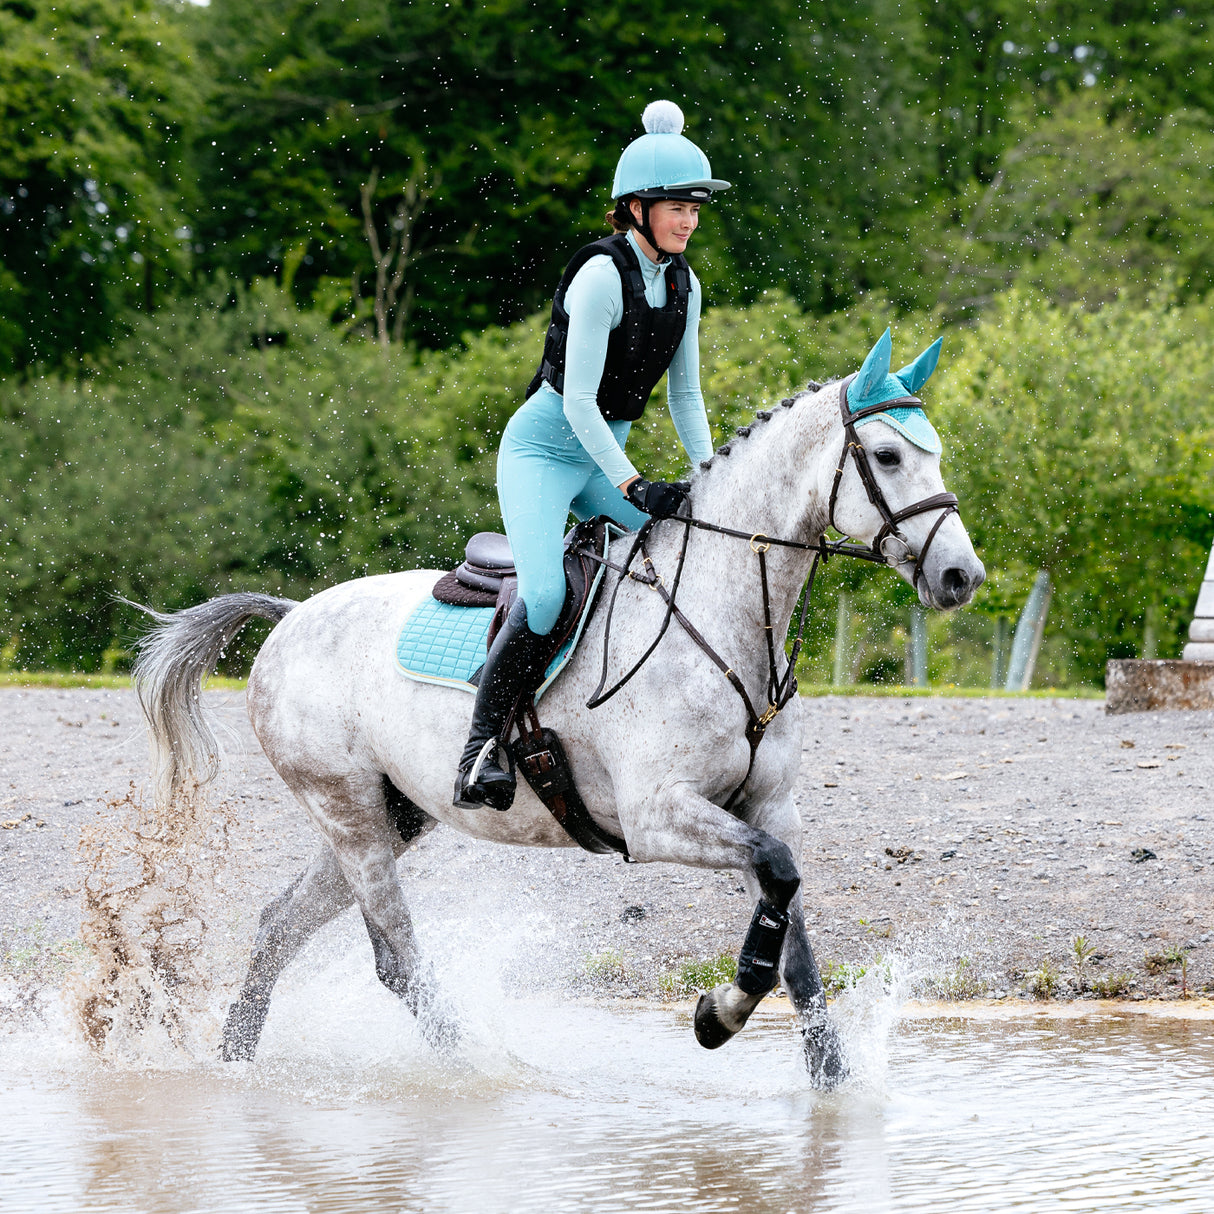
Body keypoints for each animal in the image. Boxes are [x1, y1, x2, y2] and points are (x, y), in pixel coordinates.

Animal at [135, 335, 985, 1092]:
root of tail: (290, 617)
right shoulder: (657, 816)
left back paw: (235, 1060)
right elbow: (775, 886)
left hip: (390, 813)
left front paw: (831, 1080)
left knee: (280, 925)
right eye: (887, 457)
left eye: (935, 452)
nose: (961, 576)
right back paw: (483, 1068)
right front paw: (719, 1015)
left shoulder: (769, 808)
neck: (720, 615)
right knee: (396, 958)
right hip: (348, 812)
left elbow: (794, 938)